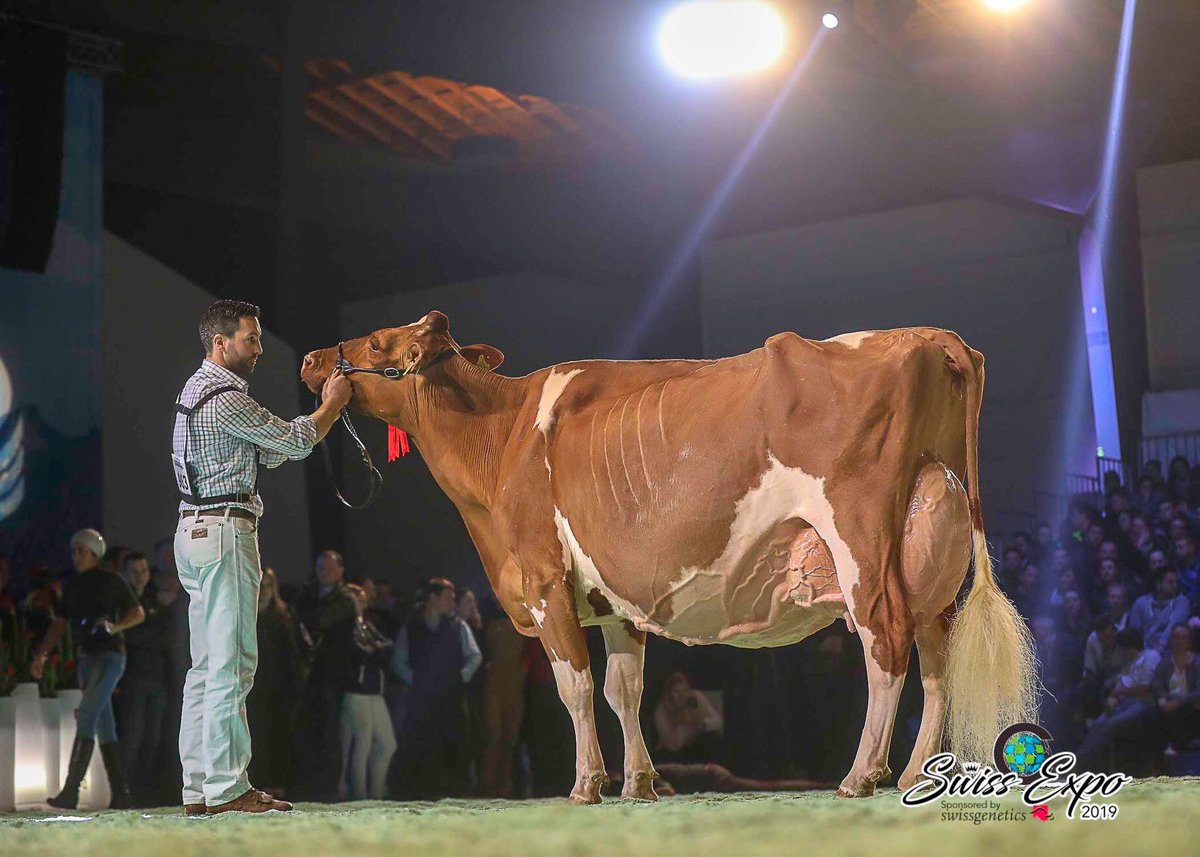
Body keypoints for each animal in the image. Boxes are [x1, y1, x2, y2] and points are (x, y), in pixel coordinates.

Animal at [301, 311, 1037, 803]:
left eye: (376, 342)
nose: (311, 358)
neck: (499, 436)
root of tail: (924, 335)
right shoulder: (616, 601)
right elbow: (624, 690)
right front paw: (641, 782)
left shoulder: (544, 579)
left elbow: (576, 687)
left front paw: (587, 784)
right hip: (927, 553)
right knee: (936, 658)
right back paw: (913, 773)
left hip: (862, 541)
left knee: (884, 648)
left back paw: (860, 775)